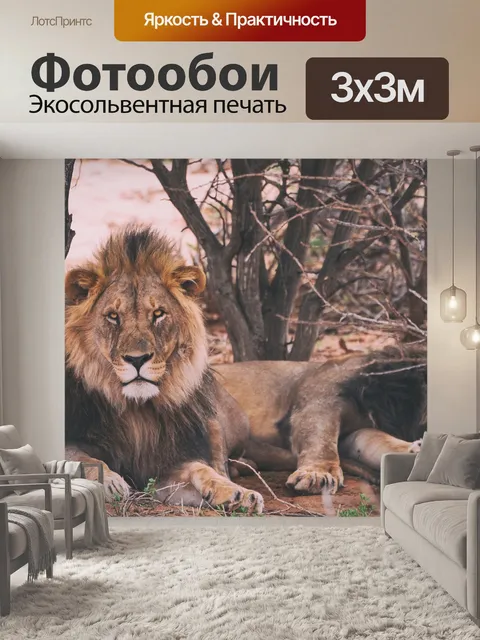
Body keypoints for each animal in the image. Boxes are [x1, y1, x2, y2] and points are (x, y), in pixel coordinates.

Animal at [65, 226, 263, 513]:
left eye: (158, 314)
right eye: (113, 316)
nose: (137, 359)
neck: (136, 412)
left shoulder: (165, 467)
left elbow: (201, 469)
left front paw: (237, 494)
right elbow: (81, 457)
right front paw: (111, 482)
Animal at [215, 349, 426, 494]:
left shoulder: (357, 431)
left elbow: (379, 442)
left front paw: (414, 449)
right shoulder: (322, 396)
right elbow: (321, 437)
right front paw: (319, 474)